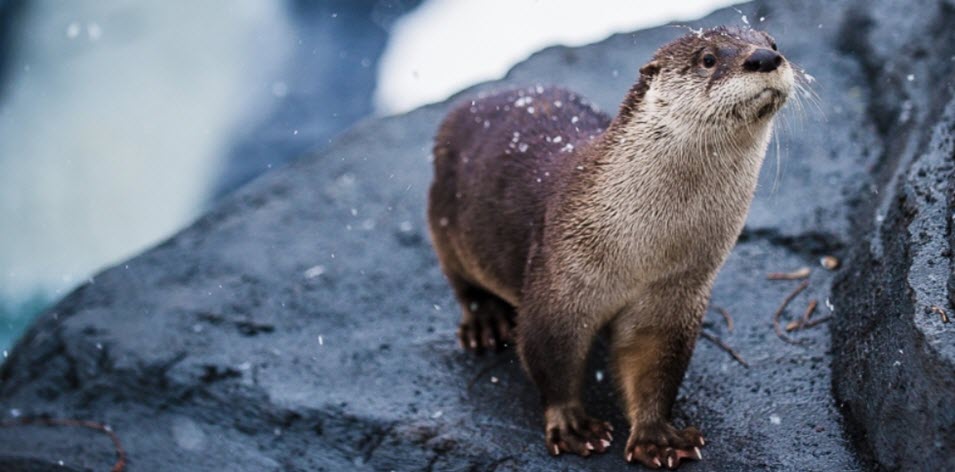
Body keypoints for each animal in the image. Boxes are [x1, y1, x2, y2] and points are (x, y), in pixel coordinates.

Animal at [430, 26, 796, 468]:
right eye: (707, 59)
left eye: (773, 43)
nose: (764, 58)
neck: (645, 248)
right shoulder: (559, 280)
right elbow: (548, 356)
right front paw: (573, 426)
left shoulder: (674, 295)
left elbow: (655, 369)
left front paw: (658, 437)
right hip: (444, 218)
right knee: (458, 276)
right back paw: (485, 321)